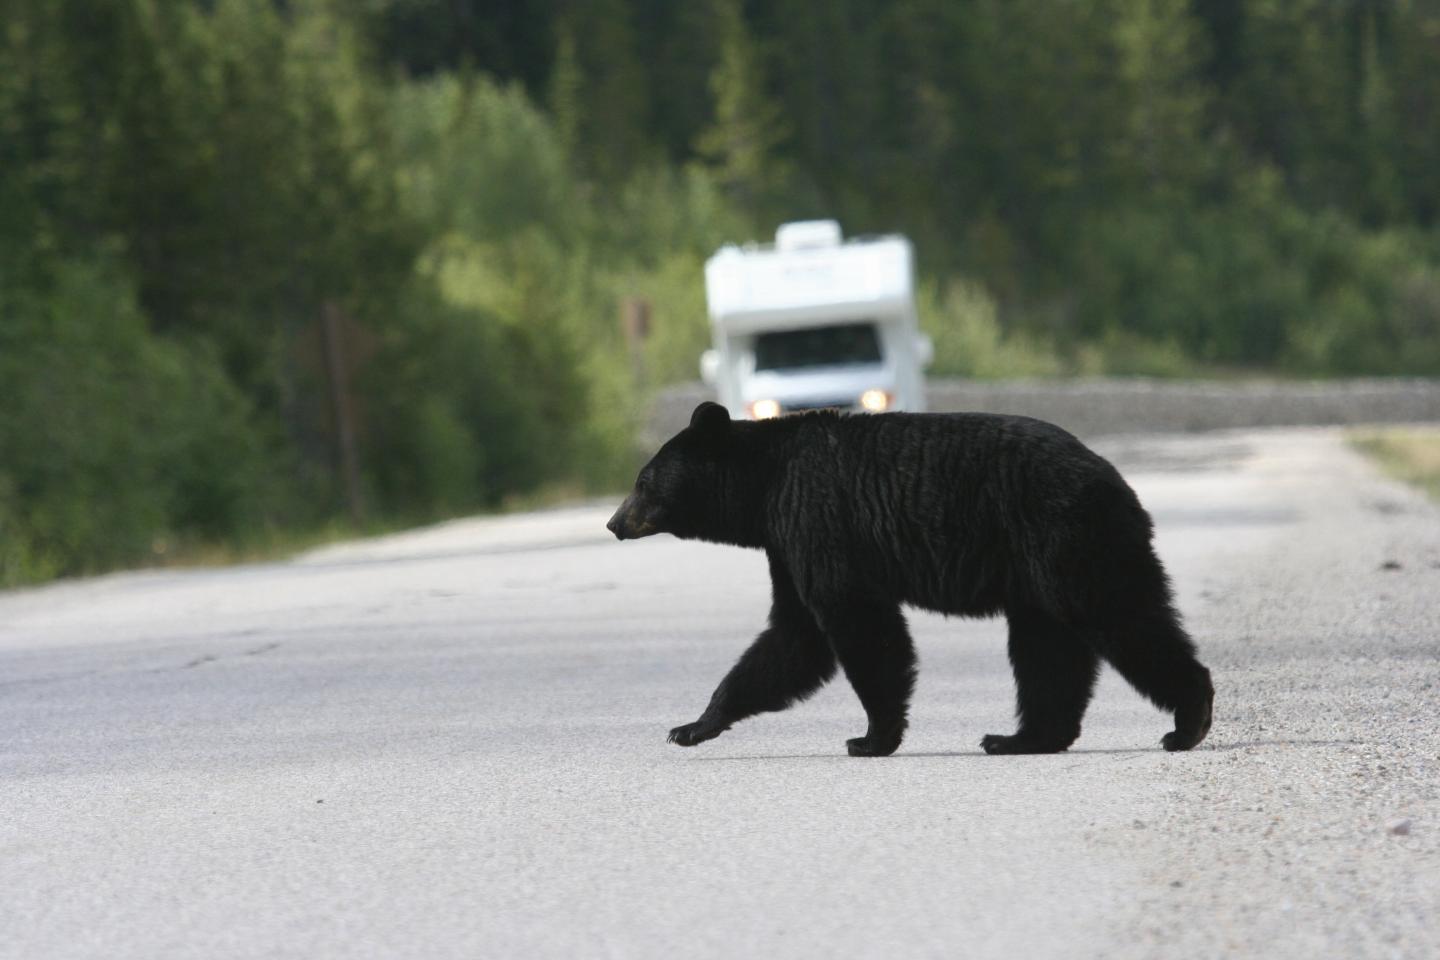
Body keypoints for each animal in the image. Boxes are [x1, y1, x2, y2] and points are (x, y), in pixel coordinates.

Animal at [607, 400, 1215, 759]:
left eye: (642, 481)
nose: (614, 522)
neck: (764, 488)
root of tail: (1119, 483)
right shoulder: (787, 543)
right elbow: (793, 637)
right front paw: (693, 725)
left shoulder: (819, 521)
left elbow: (855, 626)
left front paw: (870, 737)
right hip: (1039, 571)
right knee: (1047, 650)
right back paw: (1021, 738)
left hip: (1067, 539)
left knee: (1121, 616)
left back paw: (1187, 723)